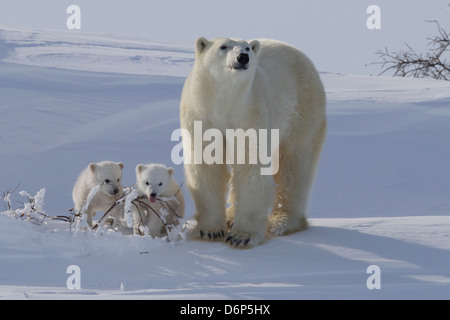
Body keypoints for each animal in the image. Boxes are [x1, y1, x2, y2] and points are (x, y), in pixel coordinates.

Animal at [180, 37, 326, 248]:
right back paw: (230, 216)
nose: (243, 57)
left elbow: (251, 166)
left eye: (247, 47)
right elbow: (207, 165)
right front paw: (211, 230)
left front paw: (241, 236)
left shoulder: (250, 113)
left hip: (303, 110)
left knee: (295, 165)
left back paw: (281, 222)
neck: (224, 103)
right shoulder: (201, 115)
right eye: (223, 46)